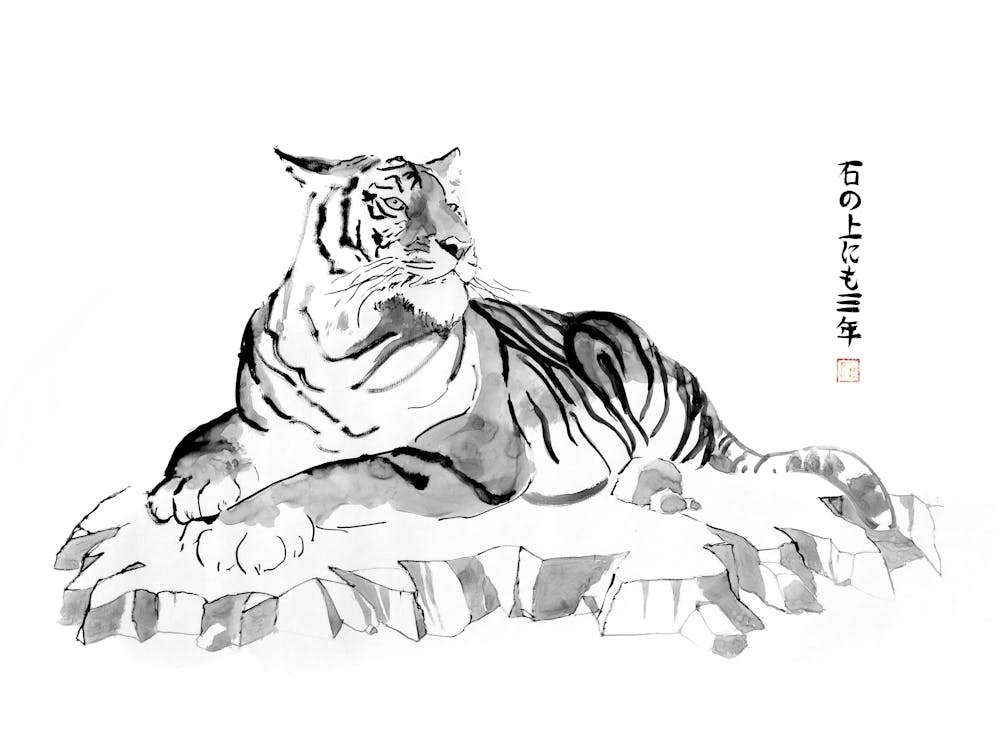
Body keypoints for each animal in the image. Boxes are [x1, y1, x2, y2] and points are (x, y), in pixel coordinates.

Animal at [146, 147, 920, 572]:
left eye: (455, 205)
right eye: (394, 200)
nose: (461, 247)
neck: (340, 339)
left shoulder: (467, 461)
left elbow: (333, 475)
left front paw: (239, 532)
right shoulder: (263, 420)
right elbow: (208, 435)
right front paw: (184, 490)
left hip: (625, 364)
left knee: (687, 461)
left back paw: (653, 483)